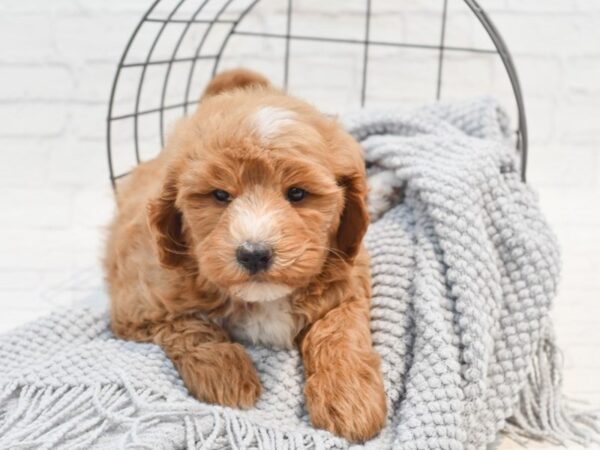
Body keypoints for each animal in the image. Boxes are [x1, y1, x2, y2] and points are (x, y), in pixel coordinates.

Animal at [105, 68, 386, 442]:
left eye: (297, 194)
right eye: (220, 195)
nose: (254, 254)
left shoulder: (347, 281)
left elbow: (339, 331)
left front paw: (350, 400)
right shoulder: (138, 307)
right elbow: (191, 328)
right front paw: (226, 374)